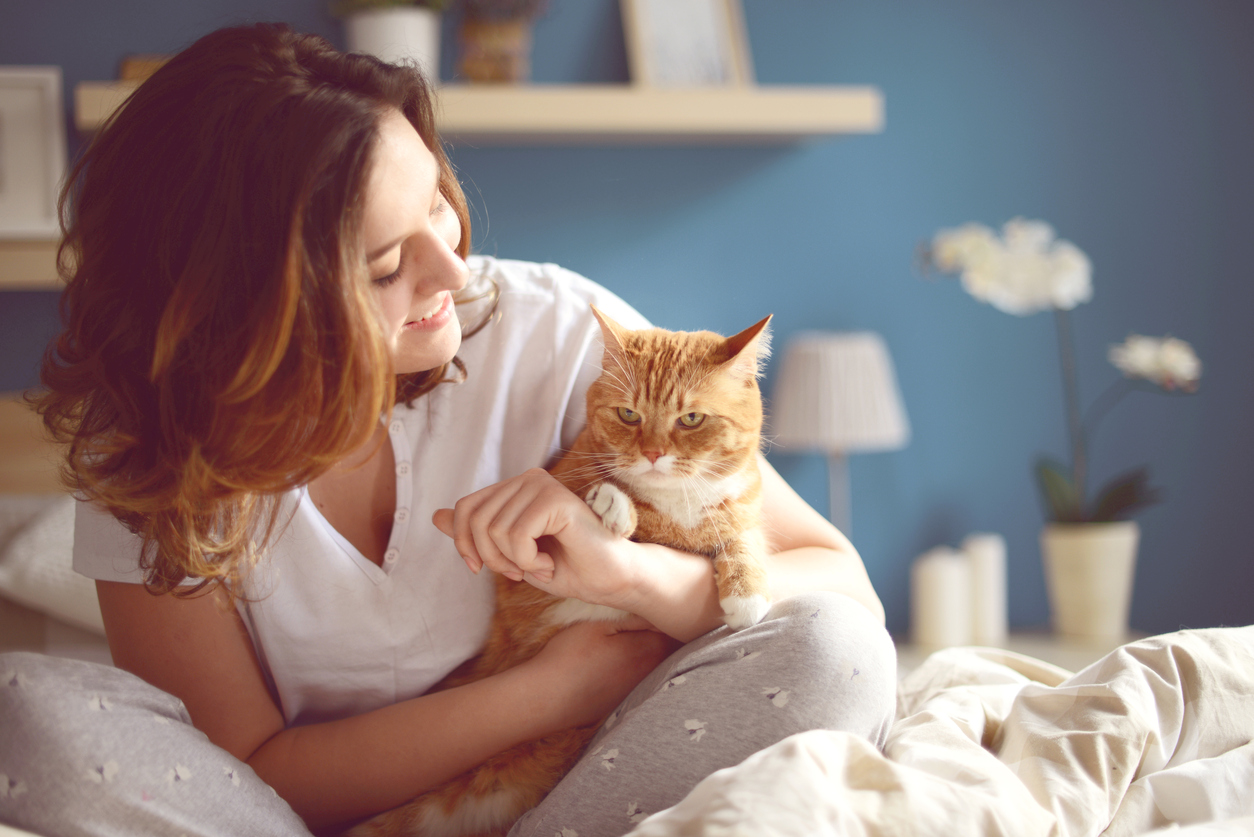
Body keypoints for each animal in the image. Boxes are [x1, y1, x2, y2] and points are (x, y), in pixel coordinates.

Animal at [348, 307, 767, 837]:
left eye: (691, 419)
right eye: (628, 415)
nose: (653, 455)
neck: (674, 508)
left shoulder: (742, 505)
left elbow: (745, 536)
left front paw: (746, 594)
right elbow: (605, 502)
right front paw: (615, 506)